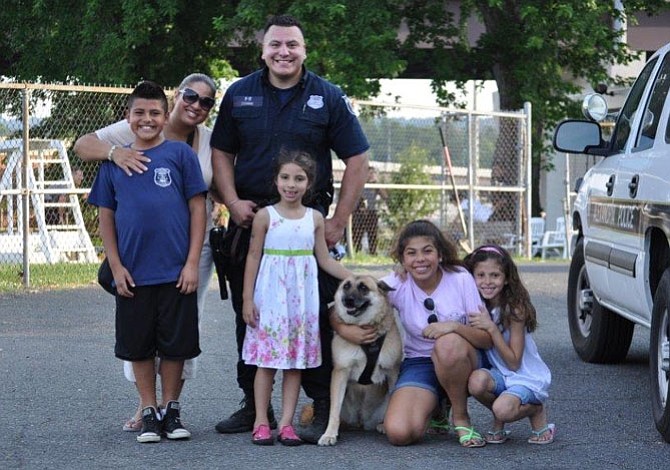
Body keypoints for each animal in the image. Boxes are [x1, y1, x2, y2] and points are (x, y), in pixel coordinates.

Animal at [320, 276, 404, 448]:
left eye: (363, 288)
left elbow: (393, 399)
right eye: (346, 286)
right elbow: (334, 411)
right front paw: (329, 434)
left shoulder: (392, 371)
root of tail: (361, 420)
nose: (348, 300)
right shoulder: (340, 372)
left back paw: (382, 424)